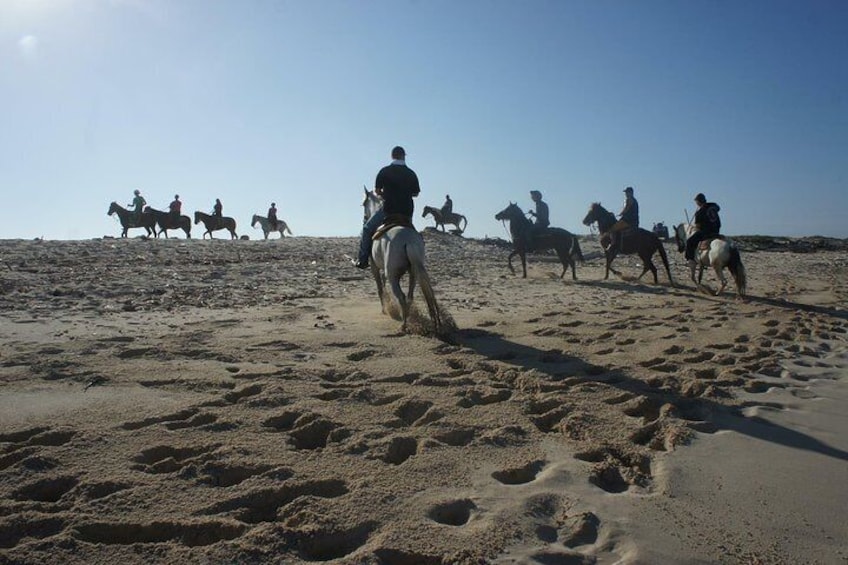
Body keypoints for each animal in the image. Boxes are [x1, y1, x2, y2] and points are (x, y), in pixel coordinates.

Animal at [362, 187, 440, 332]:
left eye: (364, 204)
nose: (365, 219)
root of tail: (408, 240)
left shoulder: (374, 267)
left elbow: (380, 288)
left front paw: (384, 309)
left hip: (393, 275)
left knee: (401, 297)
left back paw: (404, 325)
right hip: (414, 273)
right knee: (409, 296)